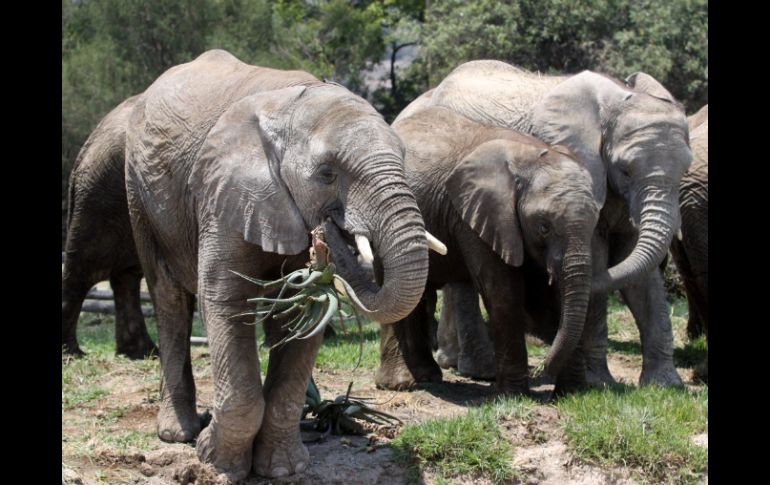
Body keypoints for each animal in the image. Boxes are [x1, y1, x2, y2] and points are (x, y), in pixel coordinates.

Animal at [124, 50, 440, 480]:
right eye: (327, 174)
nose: (328, 235)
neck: (290, 106)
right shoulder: (221, 192)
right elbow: (225, 301)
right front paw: (216, 463)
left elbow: (304, 315)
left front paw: (283, 469)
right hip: (139, 193)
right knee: (168, 297)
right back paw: (178, 434)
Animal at [374, 105, 600, 394]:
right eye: (544, 227)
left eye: (596, 221)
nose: (543, 368)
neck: (530, 156)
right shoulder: (477, 215)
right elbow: (505, 294)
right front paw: (512, 394)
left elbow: (547, 299)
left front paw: (573, 392)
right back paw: (400, 384)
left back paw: (427, 376)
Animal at [404, 59, 692, 386]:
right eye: (625, 170)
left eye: (685, 170)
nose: (542, 372)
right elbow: (600, 258)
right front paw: (598, 383)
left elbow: (641, 278)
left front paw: (665, 385)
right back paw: (479, 370)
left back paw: (458, 363)